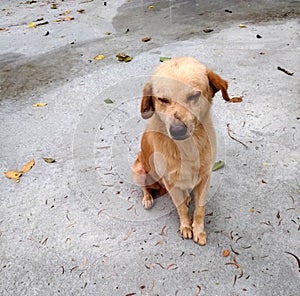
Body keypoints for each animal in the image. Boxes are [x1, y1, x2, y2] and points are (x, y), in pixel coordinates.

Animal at [132, 56, 240, 244]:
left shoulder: (205, 177)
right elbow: (181, 208)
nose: (177, 130)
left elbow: (199, 209)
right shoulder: (170, 182)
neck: (187, 148)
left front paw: (198, 230)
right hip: (138, 170)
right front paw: (186, 227)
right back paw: (147, 199)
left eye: (194, 95)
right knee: (146, 188)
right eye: (162, 100)